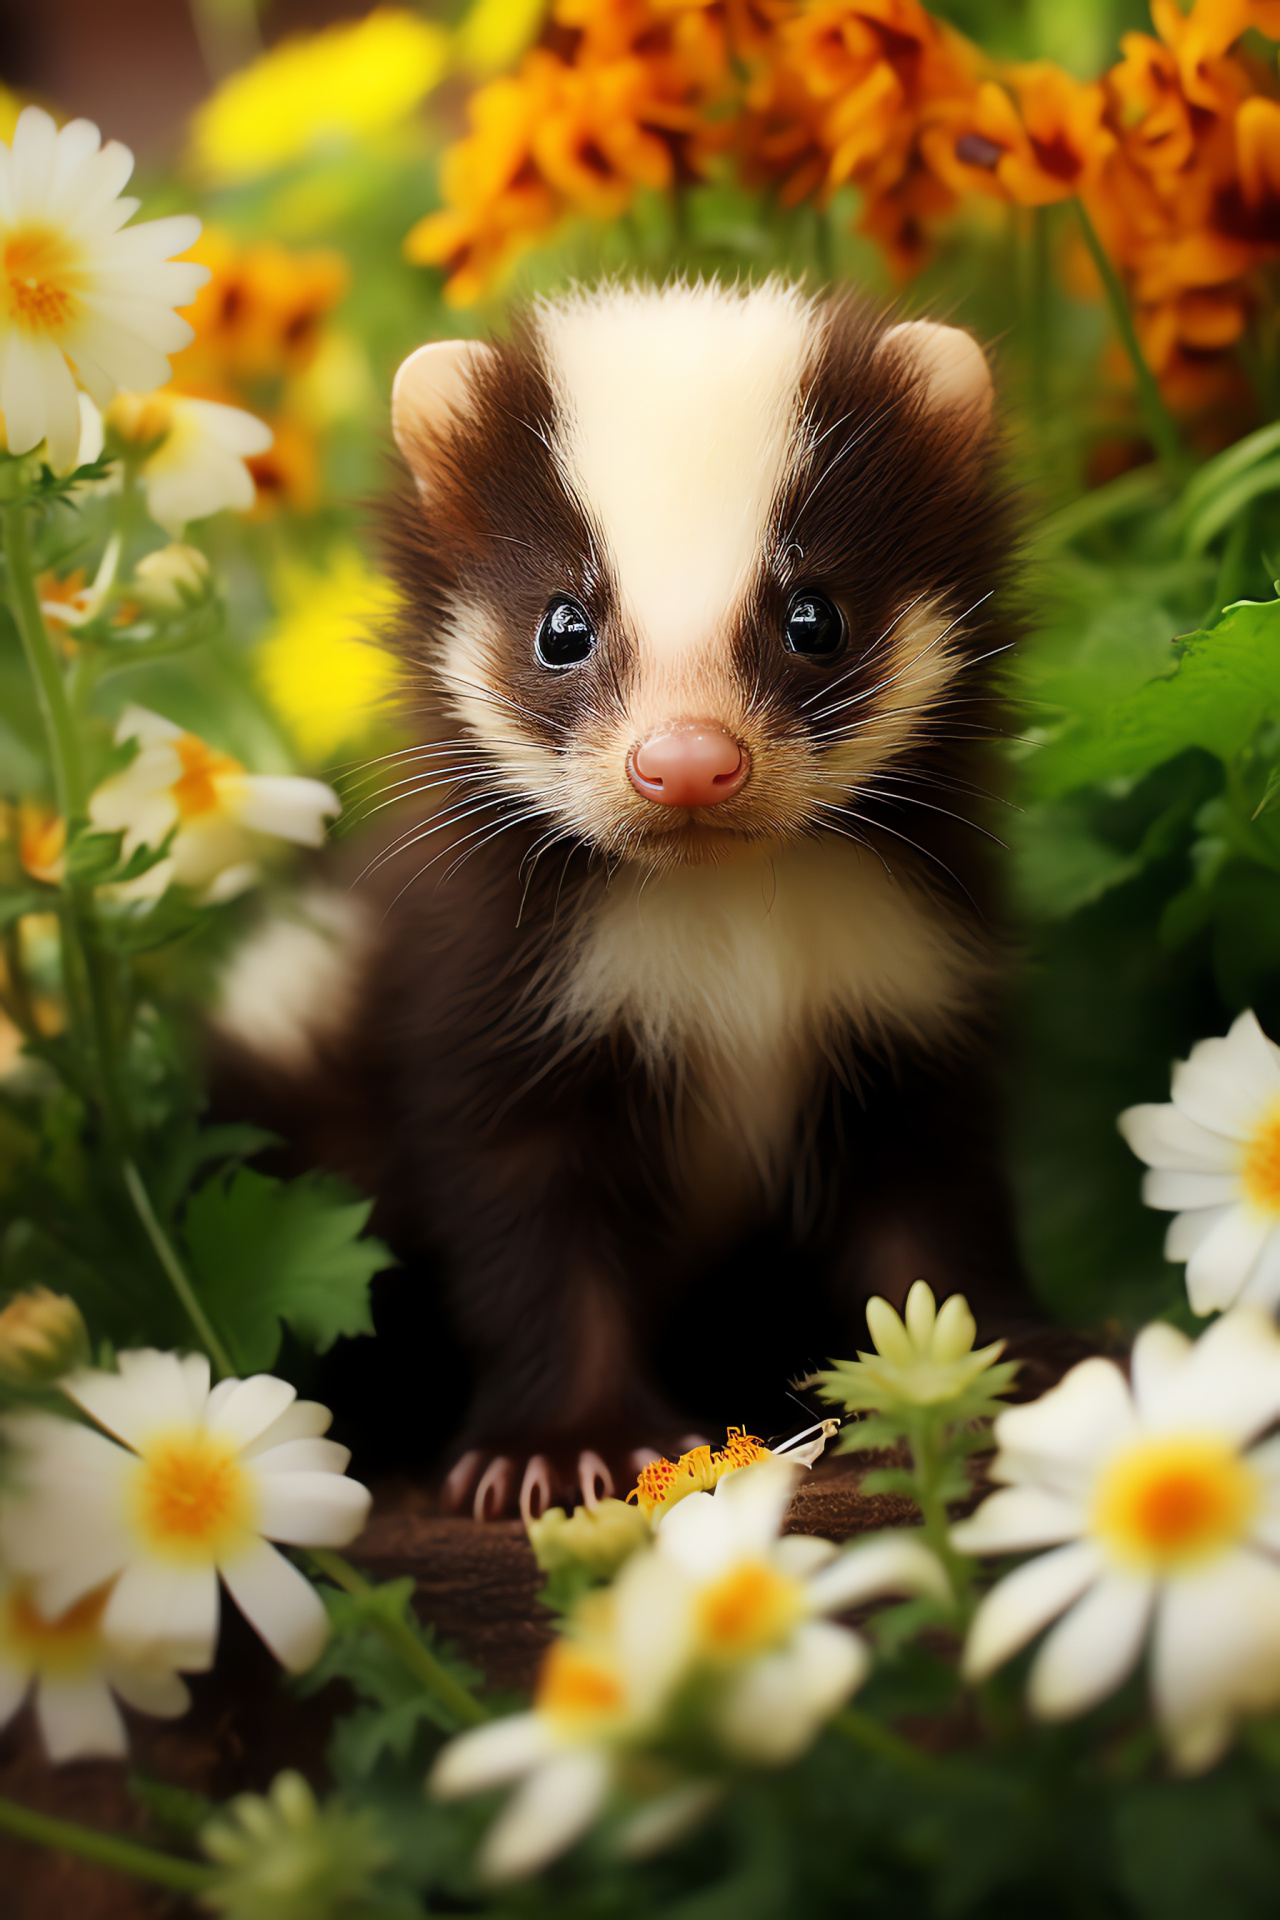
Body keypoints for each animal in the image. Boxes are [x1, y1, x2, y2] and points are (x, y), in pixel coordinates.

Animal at [214, 278, 1043, 1520]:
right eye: (562, 624)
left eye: (814, 616)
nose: (687, 761)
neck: (722, 932)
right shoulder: (487, 993)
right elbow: (521, 1221)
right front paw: (562, 1450)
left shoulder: (900, 986)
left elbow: (925, 1195)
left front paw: (964, 1370)